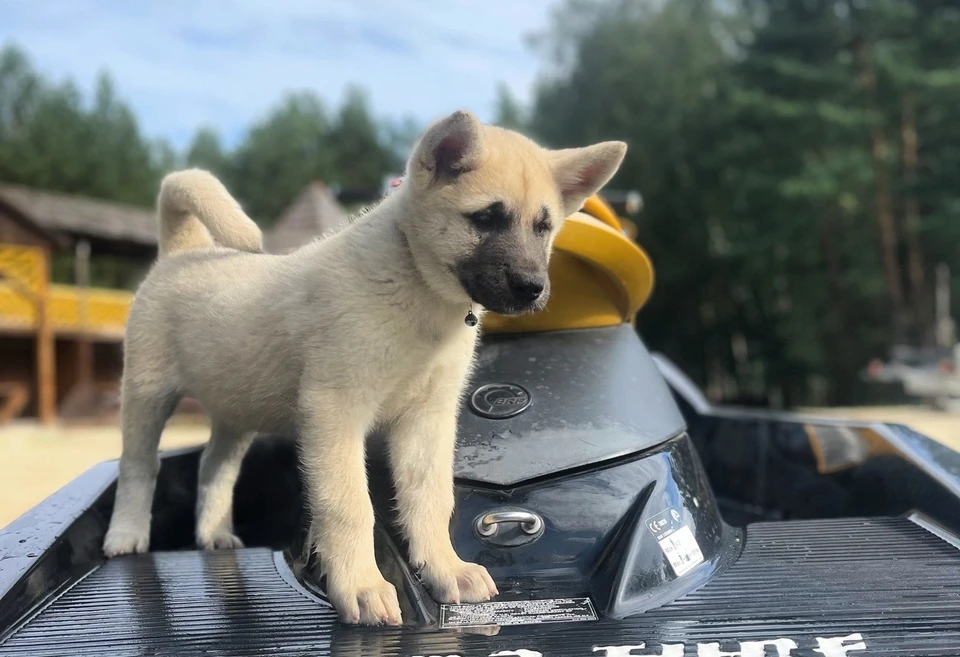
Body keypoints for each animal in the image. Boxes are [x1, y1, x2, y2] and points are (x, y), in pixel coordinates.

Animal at [105, 111, 628, 624]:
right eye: (484, 218)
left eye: (543, 227)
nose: (533, 288)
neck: (417, 286)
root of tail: (182, 251)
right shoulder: (335, 413)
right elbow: (349, 506)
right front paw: (360, 587)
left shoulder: (426, 422)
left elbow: (429, 499)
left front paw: (446, 570)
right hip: (147, 395)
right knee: (139, 467)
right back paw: (125, 535)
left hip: (236, 406)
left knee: (215, 467)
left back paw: (213, 532)